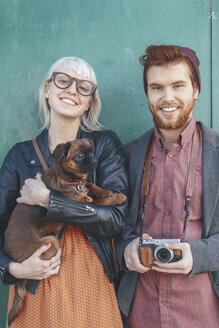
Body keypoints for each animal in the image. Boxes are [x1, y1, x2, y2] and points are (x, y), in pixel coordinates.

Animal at [3, 138, 126, 326]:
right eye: (80, 155)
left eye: (91, 150)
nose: (93, 155)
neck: (71, 180)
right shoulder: (82, 203)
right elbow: (100, 202)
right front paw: (118, 197)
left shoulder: (84, 188)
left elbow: (90, 184)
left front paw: (104, 190)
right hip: (50, 243)